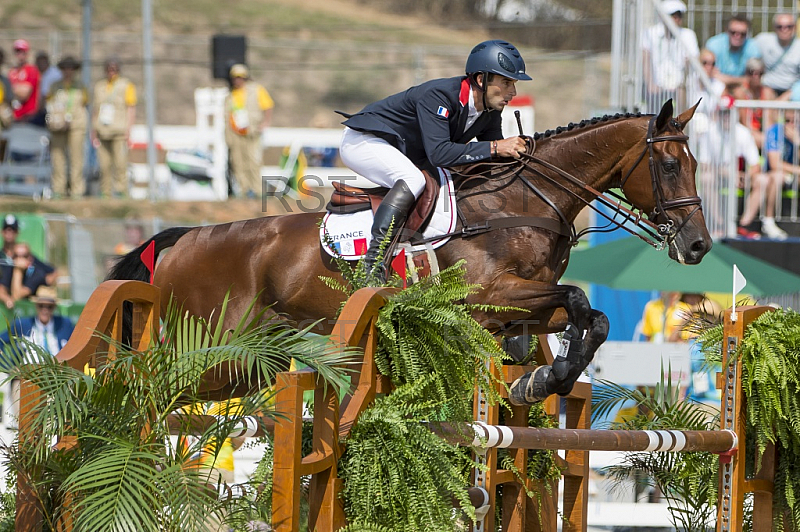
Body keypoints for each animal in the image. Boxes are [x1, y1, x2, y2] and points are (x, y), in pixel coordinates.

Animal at [108, 100, 712, 404]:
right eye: (668, 165)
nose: (699, 244)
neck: (522, 200)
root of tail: (182, 240)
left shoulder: (520, 307)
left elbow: (593, 316)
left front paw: (543, 378)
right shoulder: (488, 298)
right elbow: (580, 299)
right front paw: (548, 377)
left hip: (250, 359)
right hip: (212, 343)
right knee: (156, 390)